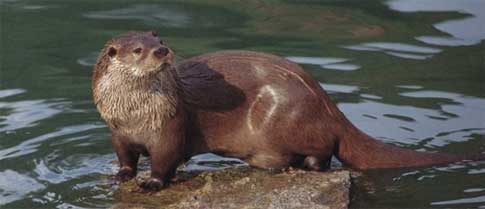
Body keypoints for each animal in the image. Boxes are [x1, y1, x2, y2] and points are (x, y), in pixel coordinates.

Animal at [91, 31, 484, 191]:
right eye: (139, 49)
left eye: (161, 41)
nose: (163, 51)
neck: (135, 115)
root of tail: (325, 100)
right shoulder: (117, 132)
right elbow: (125, 157)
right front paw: (121, 175)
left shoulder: (171, 127)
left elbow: (165, 160)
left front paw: (151, 182)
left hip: (287, 115)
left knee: (326, 150)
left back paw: (307, 165)